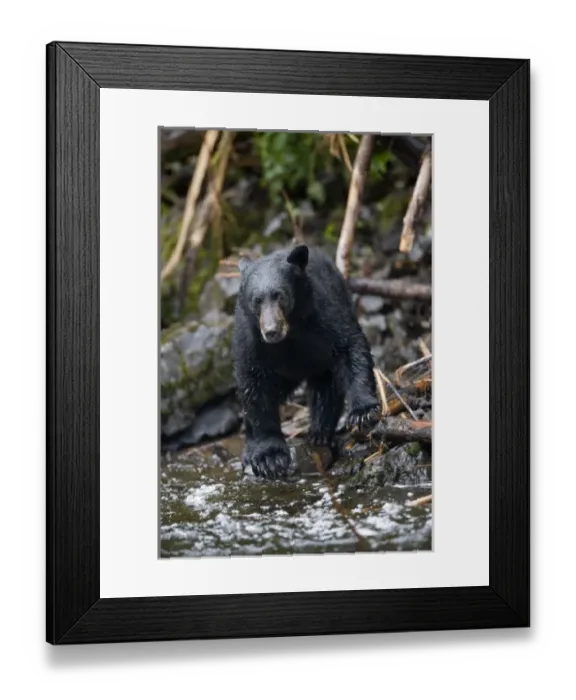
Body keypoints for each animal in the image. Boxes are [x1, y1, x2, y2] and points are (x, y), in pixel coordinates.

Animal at [232, 244, 380, 479]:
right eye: (256, 300)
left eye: (280, 295)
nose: (271, 331)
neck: (291, 334)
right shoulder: (252, 341)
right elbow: (254, 388)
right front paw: (269, 457)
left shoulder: (325, 315)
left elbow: (351, 347)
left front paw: (362, 412)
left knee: (326, 387)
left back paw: (320, 432)